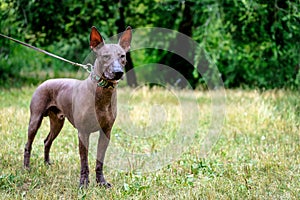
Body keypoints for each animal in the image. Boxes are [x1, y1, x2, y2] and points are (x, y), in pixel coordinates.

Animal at [23, 25, 131, 188]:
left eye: (122, 56)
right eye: (105, 56)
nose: (118, 72)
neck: (102, 94)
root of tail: (45, 82)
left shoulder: (106, 132)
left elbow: (99, 161)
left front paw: (101, 182)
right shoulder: (83, 133)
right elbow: (84, 161)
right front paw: (84, 183)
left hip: (57, 122)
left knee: (47, 141)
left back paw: (47, 163)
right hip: (35, 120)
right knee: (28, 144)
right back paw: (26, 167)